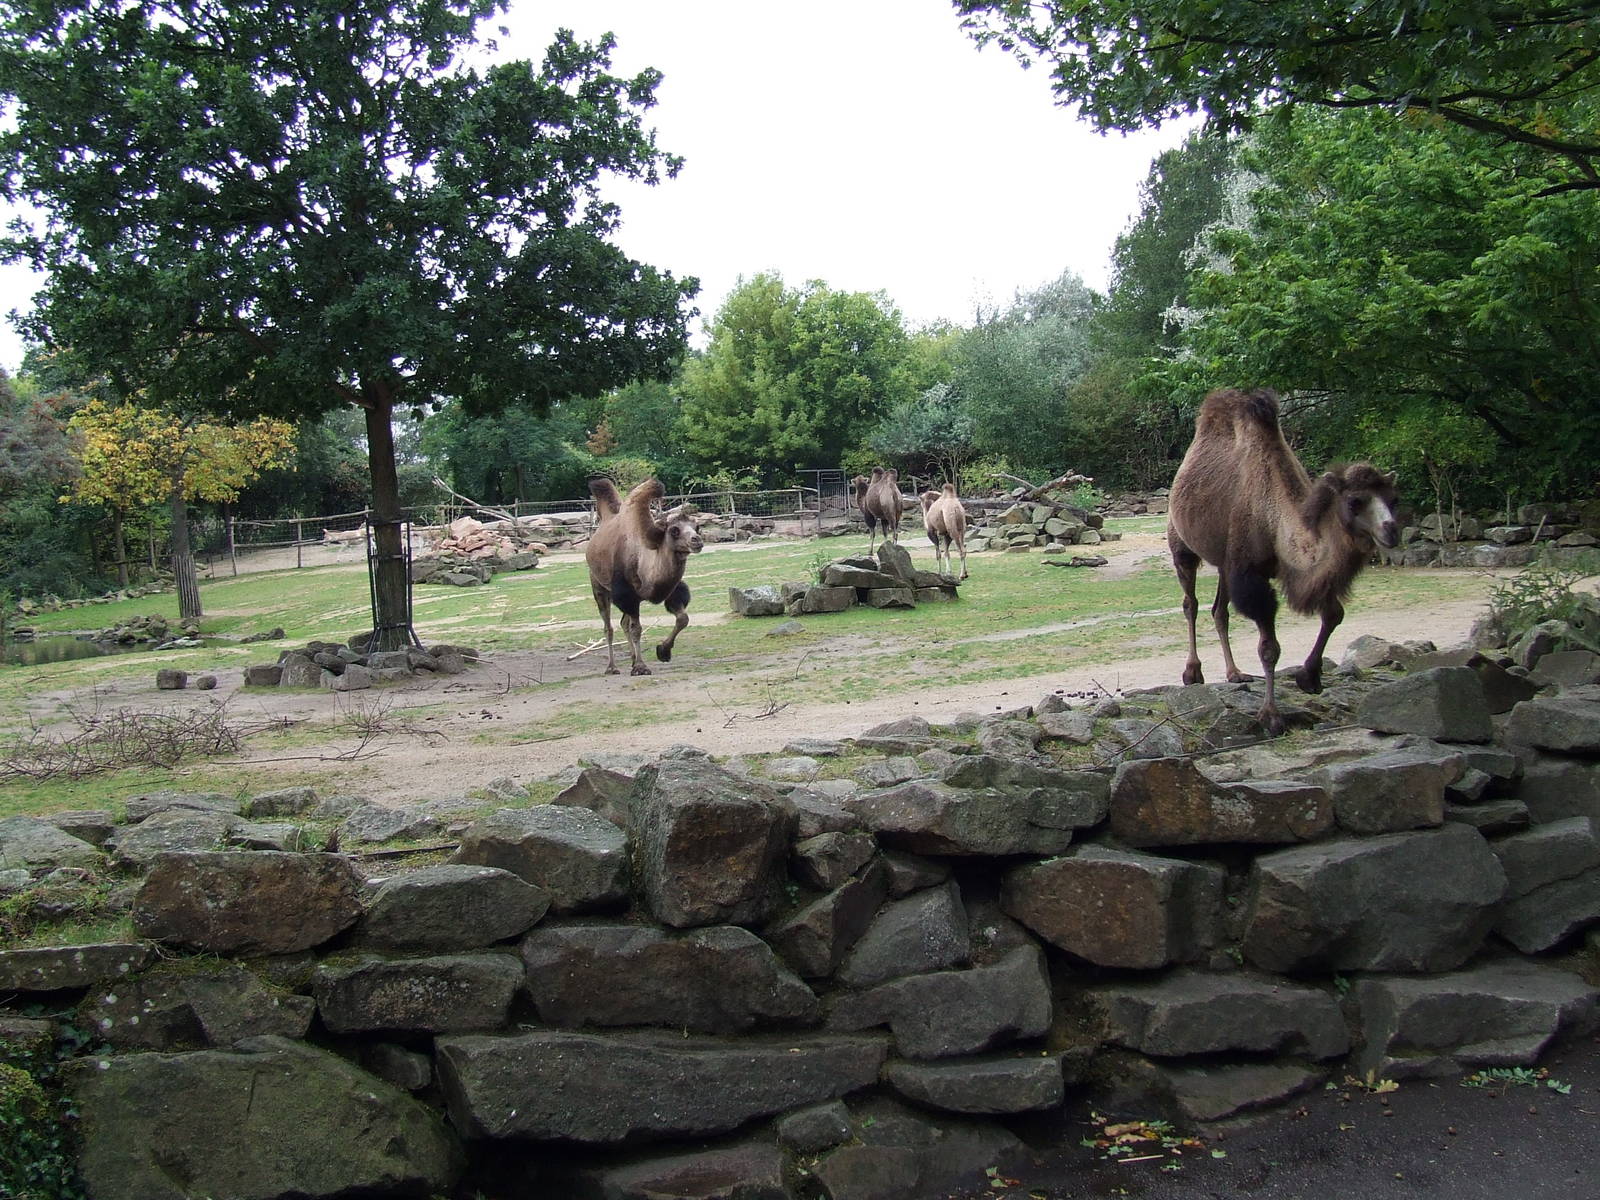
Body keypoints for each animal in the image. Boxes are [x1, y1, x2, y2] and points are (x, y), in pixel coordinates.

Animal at [585, 477, 703, 676]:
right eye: (674, 530)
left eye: (697, 527)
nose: (697, 540)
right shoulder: (627, 595)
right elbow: (637, 629)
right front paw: (641, 667)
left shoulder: (670, 590)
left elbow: (682, 618)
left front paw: (663, 651)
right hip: (598, 586)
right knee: (609, 627)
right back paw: (612, 667)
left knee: (623, 622)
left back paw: (632, 659)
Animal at [1167, 387, 1398, 734]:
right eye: (1355, 501)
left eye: (1393, 499)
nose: (1391, 530)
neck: (1274, 519)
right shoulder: (1250, 574)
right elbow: (1269, 647)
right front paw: (1271, 716)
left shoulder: (1268, 568)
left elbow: (1334, 613)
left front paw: (1308, 677)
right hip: (1181, 544)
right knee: (1190, 603)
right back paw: (1192, 672)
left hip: (1224, 561)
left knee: (1220, 610)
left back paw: (1235, 673)